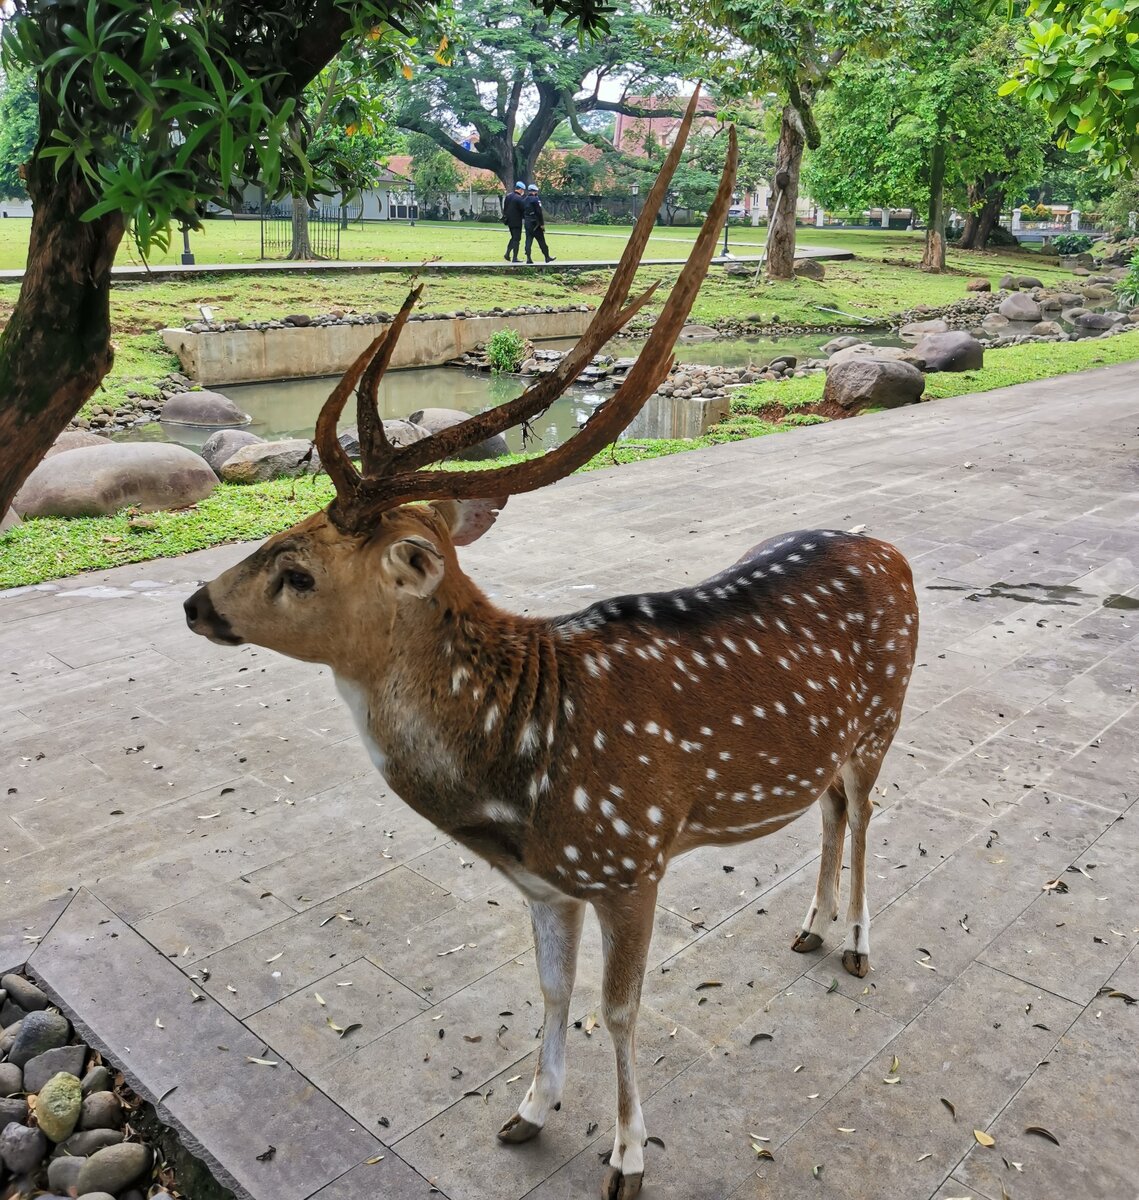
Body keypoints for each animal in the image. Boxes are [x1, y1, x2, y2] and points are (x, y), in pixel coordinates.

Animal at [184, 91, 916, 1200]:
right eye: (287, 526)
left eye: (299, 569)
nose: (195, 602)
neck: (518, 778)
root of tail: (892, 549)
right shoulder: (546, 883)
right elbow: (546, 990)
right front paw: (527, 1112)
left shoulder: (631, 856)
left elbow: (619, 1007)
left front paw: (626, 1155)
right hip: (831, 740)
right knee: (829, 809)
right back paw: (807, 926)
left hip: (884, 718)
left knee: (867, 813)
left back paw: (861, 944)